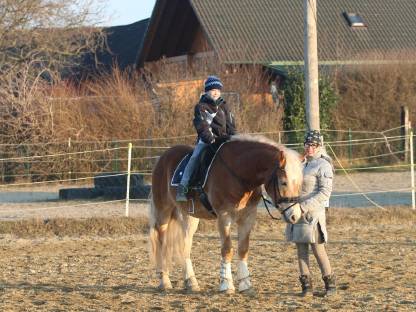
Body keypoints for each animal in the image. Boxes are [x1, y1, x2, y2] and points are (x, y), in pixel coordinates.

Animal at [150, 133, 302, 292]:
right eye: (284, 182)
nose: (295, 215)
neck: (238, 174)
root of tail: (163, 157)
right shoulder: (224, 216)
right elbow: (227, 249)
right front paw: (226, 283)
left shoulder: (248, 216)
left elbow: (243, 249)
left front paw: (245, 284)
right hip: (163, 211)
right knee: (162, 242)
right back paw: (164, 281)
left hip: (188, 216)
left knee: (185, 246)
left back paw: (191, 282)